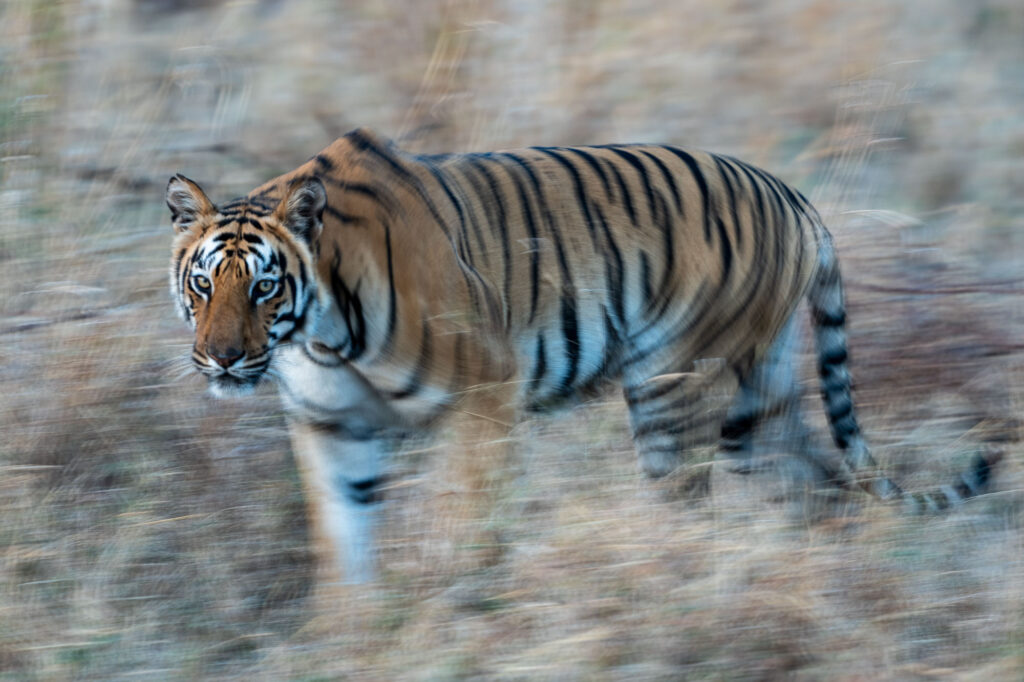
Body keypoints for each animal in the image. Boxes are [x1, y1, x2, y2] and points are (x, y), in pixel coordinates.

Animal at [167, 127, 1000, 583]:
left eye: (264, 286)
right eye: (203, 284)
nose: (221, 361)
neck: (320, 333)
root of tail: (795, 196)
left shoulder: (486, 390)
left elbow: (466, 516)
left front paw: (458, 591)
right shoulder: (330, 425)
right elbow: (342, 546)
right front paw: (352, 637)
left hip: (674, 383)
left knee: (691, 501)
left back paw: (678, 578)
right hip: (760, 394)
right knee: (820, 486)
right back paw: (822, 576)